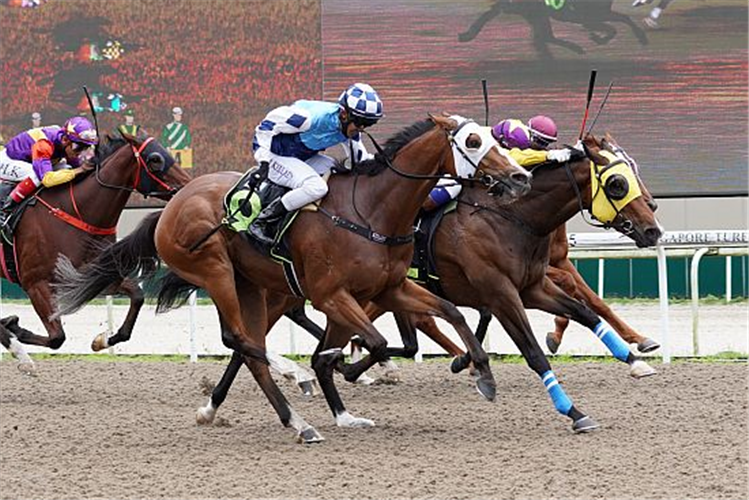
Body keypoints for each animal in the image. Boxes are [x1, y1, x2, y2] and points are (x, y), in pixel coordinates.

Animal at [0, 133, 191, 376]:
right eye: (155, 159)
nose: (188, 185)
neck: (77, 212)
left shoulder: (94, 276)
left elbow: (137, 295)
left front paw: (103, 341)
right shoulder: (36, 283)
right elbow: (56, 338)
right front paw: (16, 336)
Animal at [52, 114, 532, 442]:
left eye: (493, 138)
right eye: (473, 140)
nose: (520, 176)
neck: (371, 210)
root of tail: (172, 204)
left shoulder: (391, 287)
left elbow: (452, 311)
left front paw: (483, 374)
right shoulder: (330, 295)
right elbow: (372, 343)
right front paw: (341, 374)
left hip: (250, 284)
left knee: (248, 345)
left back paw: (264, 414)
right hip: (215, 270)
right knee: (241, 341)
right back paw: (296, 399)